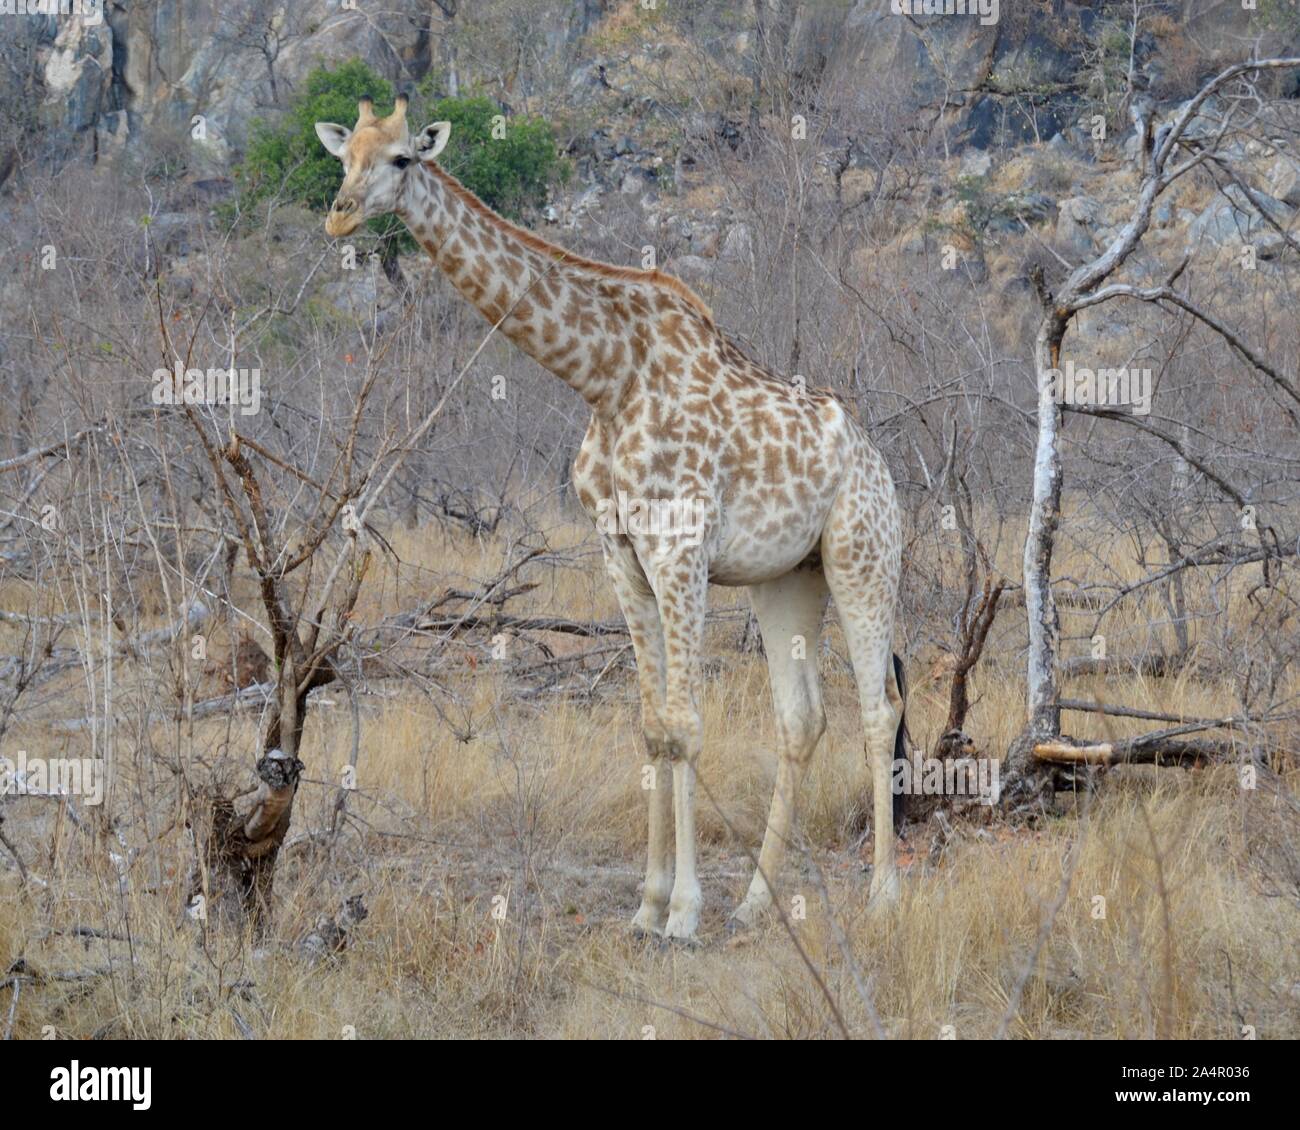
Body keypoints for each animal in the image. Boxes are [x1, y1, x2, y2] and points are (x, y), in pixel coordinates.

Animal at [316, 96, 906, 942]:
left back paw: (884, 894)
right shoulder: (619, 551)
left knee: (879, 707)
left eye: (401, 158)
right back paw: (756, 902)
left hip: (864, 556)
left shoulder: (681, 549)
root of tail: (877, 460)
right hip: (788, 577)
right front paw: (647, 906)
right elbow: (652, 726)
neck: (605, 376)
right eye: (342, 157)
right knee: (801, 719)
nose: (338, 214)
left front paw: (684, 913)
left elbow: (686, 724)